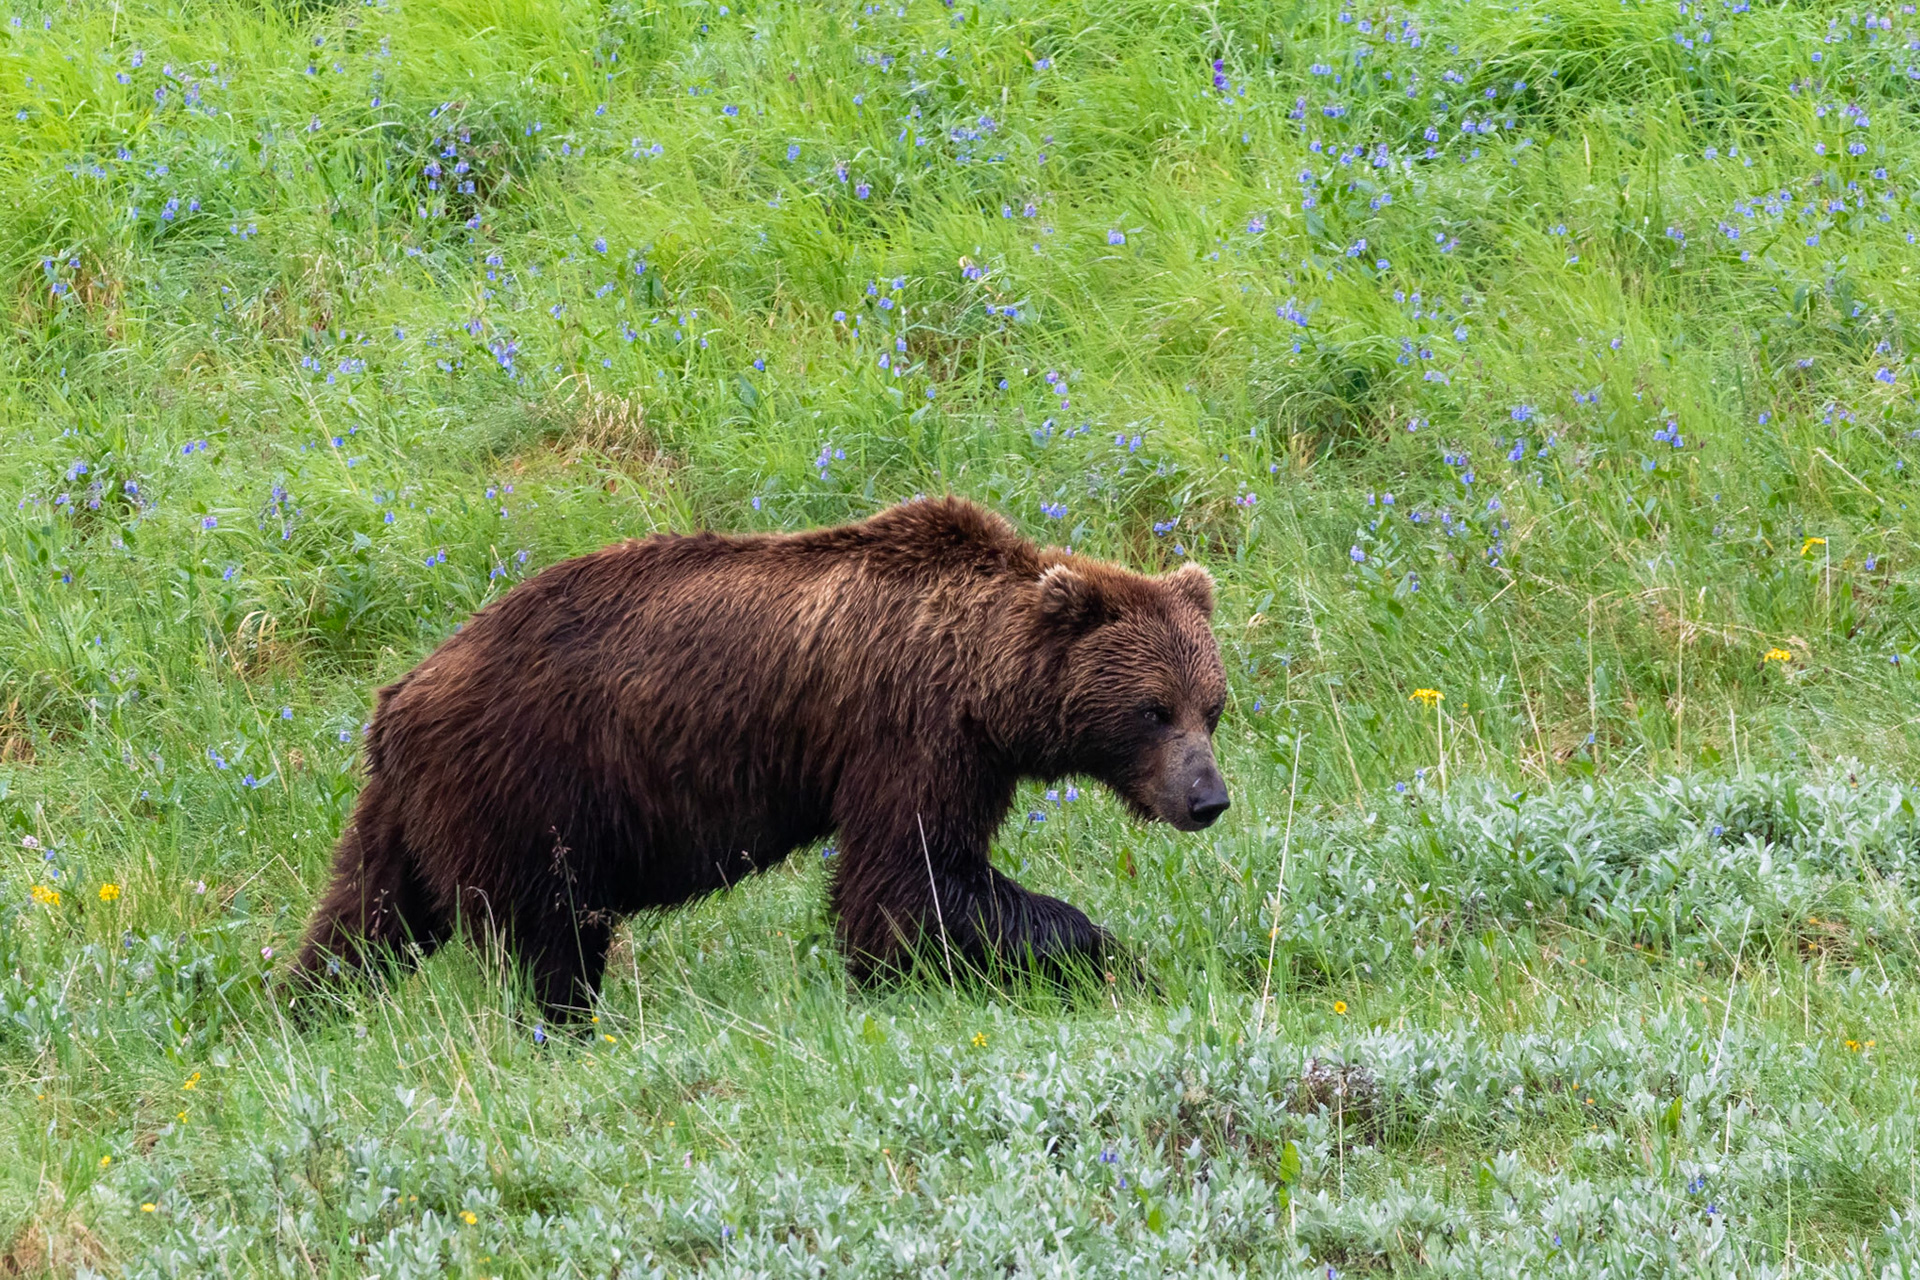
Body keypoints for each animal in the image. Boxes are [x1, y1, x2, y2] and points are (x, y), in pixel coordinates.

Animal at [291, 496, 1229, 1017]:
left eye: (1213, 708)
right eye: (1153, 710)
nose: (1207, 799)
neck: (984, 684)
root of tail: (399, 698)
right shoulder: (908, 732)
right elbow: (907, 880)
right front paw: (1111, 960)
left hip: (414, 807)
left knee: (367, 917)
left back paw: (305, 1012)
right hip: (530, 784)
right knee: (552, 933)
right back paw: (566, 1027)